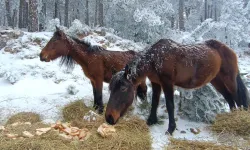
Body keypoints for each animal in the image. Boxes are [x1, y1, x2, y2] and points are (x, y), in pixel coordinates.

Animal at [105, 38, 250, 135]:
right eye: (111, 88)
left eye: (123, 88)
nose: (109, 118)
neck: (155, 59)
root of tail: (228, 49)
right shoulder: (156, 83)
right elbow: (154, 102)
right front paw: (151, 120)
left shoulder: (168, 83)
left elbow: (170, 105)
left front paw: (171, 128)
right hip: (216, 80)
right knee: (229, 98)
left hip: (229, 79)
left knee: (236, 97)